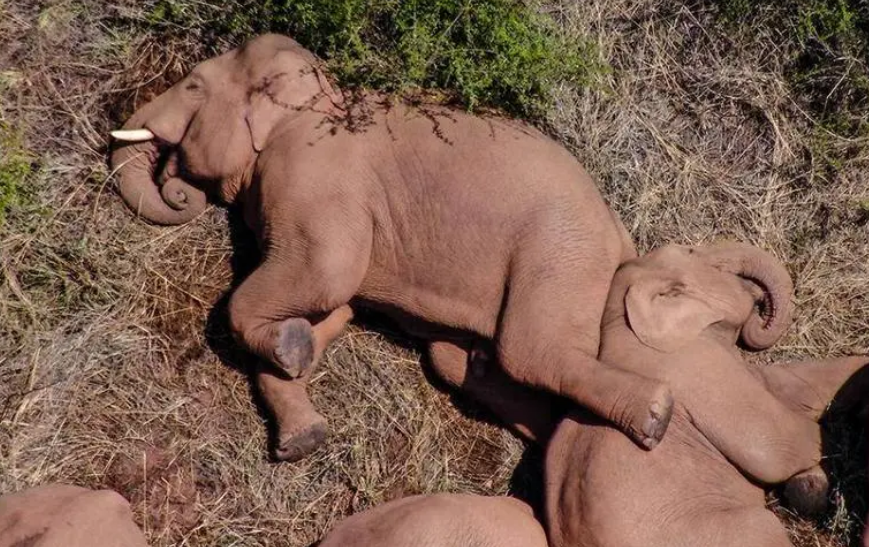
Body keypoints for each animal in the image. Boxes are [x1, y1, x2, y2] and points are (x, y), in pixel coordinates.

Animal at [109, 33, 679, 462]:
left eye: (193, 86)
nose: (178, 189)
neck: (317, 97)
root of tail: (618, 230)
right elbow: (334, 304)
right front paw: (304, 411)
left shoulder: (314, 177)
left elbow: (325, 275)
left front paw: (292, 350)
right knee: (456, 360)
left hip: (560, 248)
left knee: (532, 351)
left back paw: (655, 417)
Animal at [538, 242, 869, 547]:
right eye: (691, 251)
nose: (758, 302)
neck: (622, 323)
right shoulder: (699, 367)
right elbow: (777, 448)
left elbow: (792, 385)